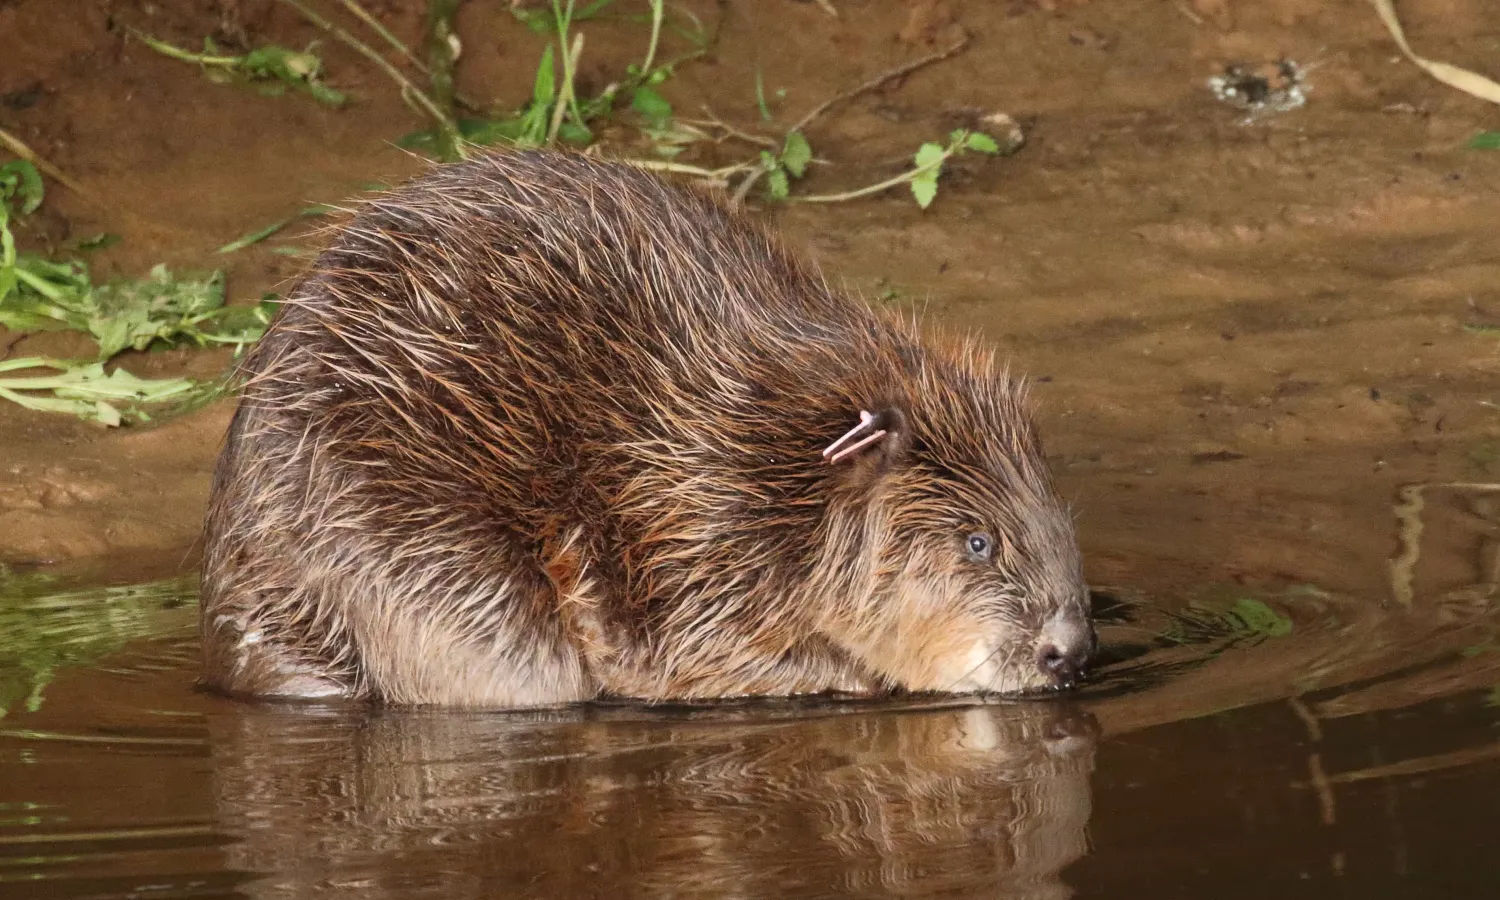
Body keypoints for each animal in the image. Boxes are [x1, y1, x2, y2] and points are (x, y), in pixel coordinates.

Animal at [201, 150, 1093, 707]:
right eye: (978, 542)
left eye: (1057, 519)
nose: (1069, 651)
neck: (769, 445)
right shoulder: (698, 522)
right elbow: (682, 655)